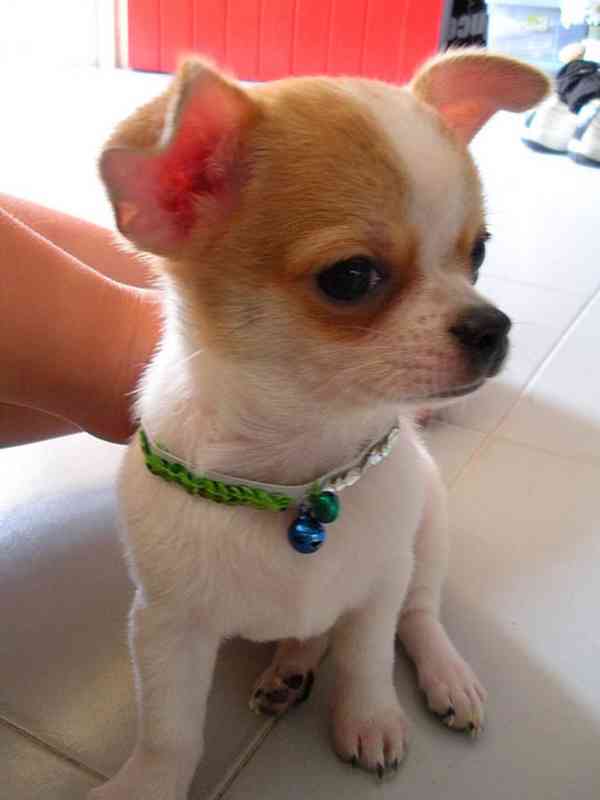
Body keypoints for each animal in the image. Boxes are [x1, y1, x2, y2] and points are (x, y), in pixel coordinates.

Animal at [91, 50, 548, 799]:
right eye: (351, 276)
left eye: (479, 252)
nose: (493, 325)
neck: (301, 479)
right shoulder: (166, 627)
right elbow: (170, 731)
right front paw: (146, 785)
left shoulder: (377, 589)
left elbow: (367, 658)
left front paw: (369, 719)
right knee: (315, 634)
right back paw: (292, 666)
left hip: (428, 536)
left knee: (420, 614)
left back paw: (444, 674)